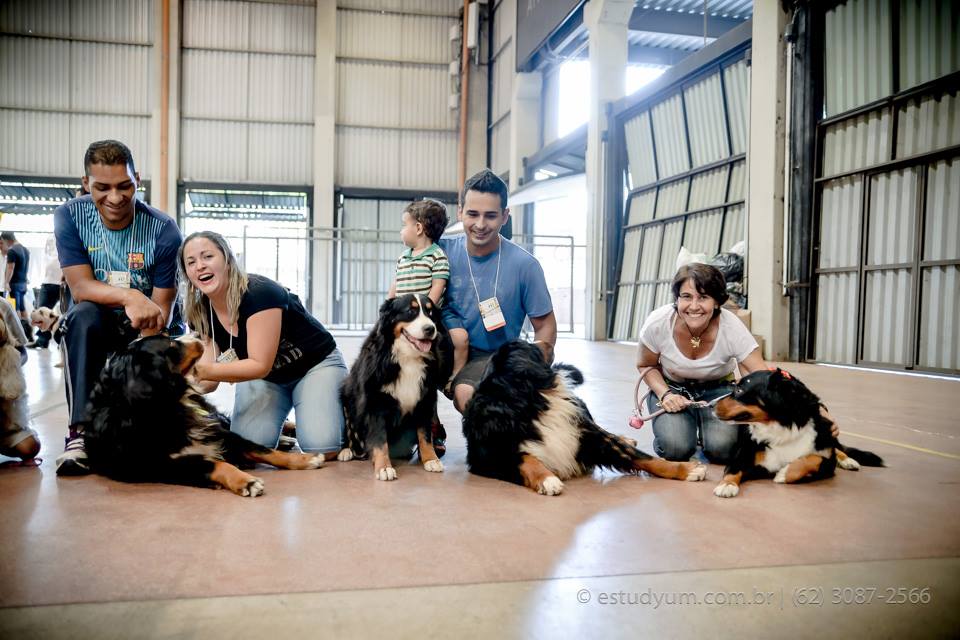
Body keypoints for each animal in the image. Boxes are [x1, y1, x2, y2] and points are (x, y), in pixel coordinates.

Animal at [83, 332, 322, 498]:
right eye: (171, 345)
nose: (198, 334)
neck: (168, 403)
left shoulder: (217, 430)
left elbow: (262, 449)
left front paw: (304, 459)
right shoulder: (161, 464)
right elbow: (216, 464)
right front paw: (246, 481)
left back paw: (288, 435)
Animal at [338, 294, 454, 480]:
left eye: (430, 313)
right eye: (410, 311)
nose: (430, 329)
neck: (408, 357)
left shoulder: (425, 399)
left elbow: (425, 434)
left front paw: (431, 459)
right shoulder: (376, 402)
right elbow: (379, 438)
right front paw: (384, 467)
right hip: (346, 395)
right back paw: (346, 451)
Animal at [458, 340, 704, 496]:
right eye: (531, 347)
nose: (543, 341)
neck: (530, 403)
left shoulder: (588, 433)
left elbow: (646, 458)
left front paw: (687, 469)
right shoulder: (488, 455)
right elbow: (526, 458)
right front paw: (547, 479)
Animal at [712, 368, 884, 498]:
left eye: (739, 390)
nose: (711, 405)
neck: (782, 429)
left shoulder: (827, 464)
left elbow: (814, 459)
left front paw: (783, 473)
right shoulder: (742, 455)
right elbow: (733, 469)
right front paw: (727, 485)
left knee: (836, 448)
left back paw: (848, 460)